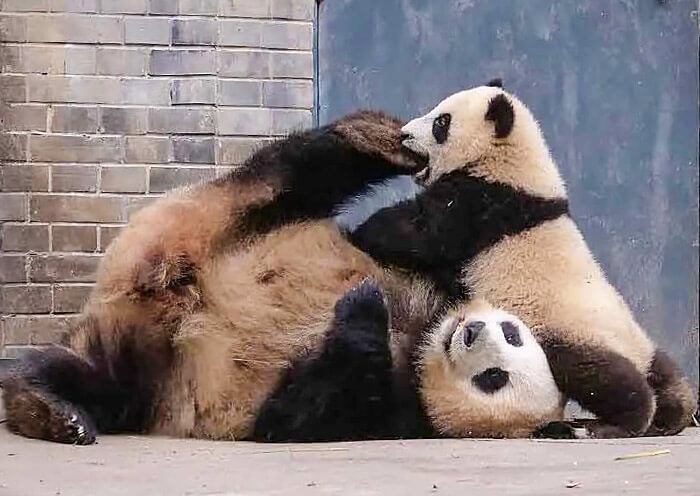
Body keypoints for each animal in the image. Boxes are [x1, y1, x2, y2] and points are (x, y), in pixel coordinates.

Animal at [1, 108, 563, 444]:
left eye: (494, 378)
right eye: (512, 333)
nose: (471, 331)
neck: (423, 337)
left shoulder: (390, 409)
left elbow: (298, 410)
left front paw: (363, 311)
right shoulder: (437, 280)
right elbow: (404, 241)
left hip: (151, 371)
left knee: (99, 378)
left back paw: (50, 407)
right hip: (208, 220)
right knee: (291, 172)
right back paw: (374, 136)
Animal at [349, 81, 697, 438]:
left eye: (441, 122)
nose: (404, 134)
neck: (515, 164)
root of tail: (638, 355)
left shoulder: (482, 206)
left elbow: (420, 232)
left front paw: (363, 231)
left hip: (565, 334)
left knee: (602, 376)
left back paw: (615, 423)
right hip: (638, 342)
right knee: (667, 377)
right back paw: (669, 414)